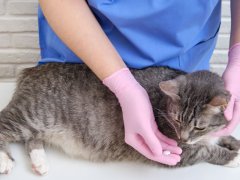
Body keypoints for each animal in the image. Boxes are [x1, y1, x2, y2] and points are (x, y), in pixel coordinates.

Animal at [0, 63, 239, 176]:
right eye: (177, 121)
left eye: (198, 127)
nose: (183, 138)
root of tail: (31, 70)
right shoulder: (176, 153)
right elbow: (207, 151)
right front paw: (233, 157)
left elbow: (223, 137)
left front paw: (233, 142)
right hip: (31, 115)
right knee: (4, 123)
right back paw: (4, 160)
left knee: (31, 139)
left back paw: (40, 161)